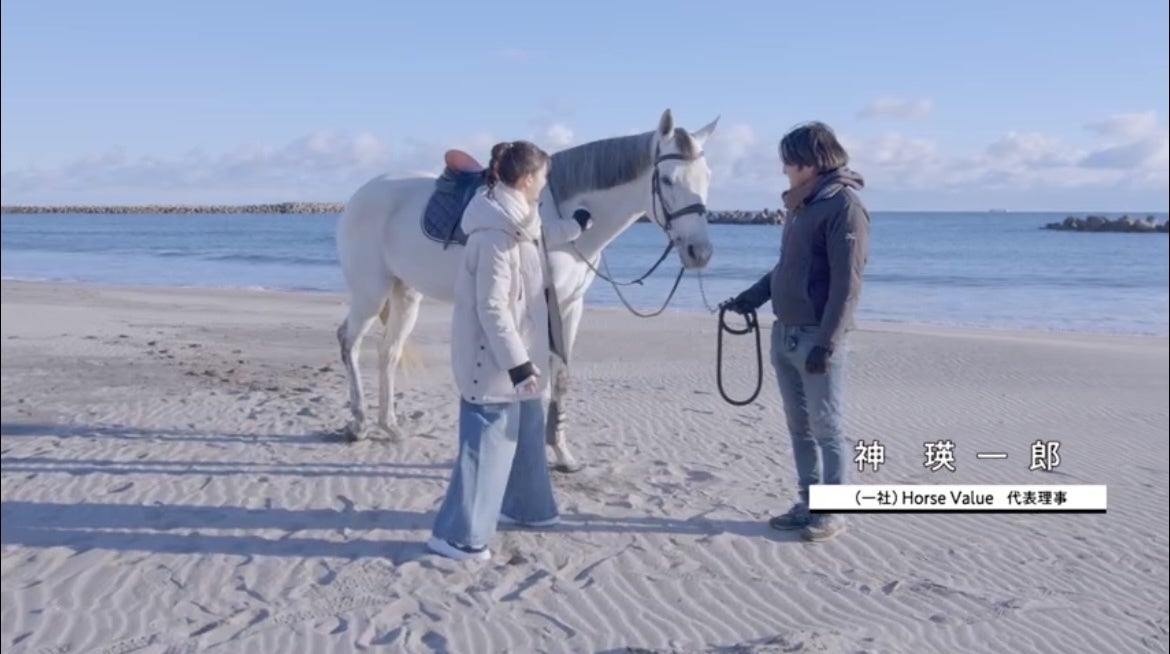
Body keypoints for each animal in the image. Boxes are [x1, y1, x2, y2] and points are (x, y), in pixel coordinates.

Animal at [334, 108, 719, 472]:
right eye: (667, 179)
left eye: (708, 178)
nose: (700, 252)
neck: (559, 217)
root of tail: (359, 196)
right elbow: (537, 375)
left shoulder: (571, 306)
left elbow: (560, 379)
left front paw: (563, 454)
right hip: (370, 293)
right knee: (349, 341)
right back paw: (359, 423)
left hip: (405, 294)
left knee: (388, 352)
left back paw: (390, 426)